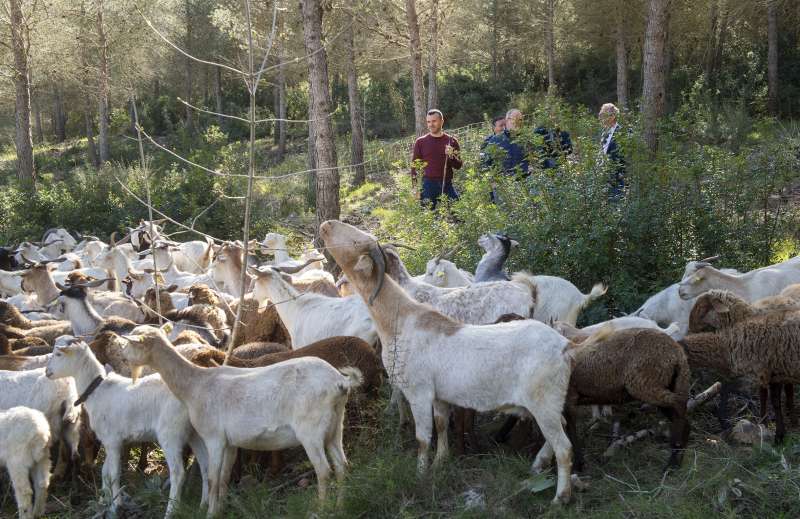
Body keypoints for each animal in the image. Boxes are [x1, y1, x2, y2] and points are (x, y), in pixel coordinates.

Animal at [45, 341, 209, 517]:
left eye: (59, 354)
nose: (47, 372)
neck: (96, 391)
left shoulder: (113, 440)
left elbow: (114, 474)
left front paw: (115, 505)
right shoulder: (110, 441)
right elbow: (105, 472)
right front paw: (104, 501)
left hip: (171, 433)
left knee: (178, 474)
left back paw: (171, 512)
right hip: (196, 434)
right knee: (206, 468)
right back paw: (203, 506)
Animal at [119, 324, 362, 516]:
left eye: (131, 343)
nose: (121, 355)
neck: (196, 385)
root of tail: (340, 382)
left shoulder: (214, 438)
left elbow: (213, 479)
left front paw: (210, 514)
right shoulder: (230, 443)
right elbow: (223, 479)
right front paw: (219, 511)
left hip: (311, 429)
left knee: (324, 470)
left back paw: (321, 509)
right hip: (334, 426)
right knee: (342, 466)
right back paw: (340, 507)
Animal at [319, 219, 575, 504]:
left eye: (356, 241)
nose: (326, 224)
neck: (400, 320)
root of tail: (564, 347)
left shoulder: (418, 392)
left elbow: (422, 438)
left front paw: (421, 475)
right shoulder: (439, 396)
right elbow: (441, 426)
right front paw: (441, 461)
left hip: (543, 402)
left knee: (564, 447)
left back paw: (560, 497)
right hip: (550, 404)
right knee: (561, 432)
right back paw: (538, 464)